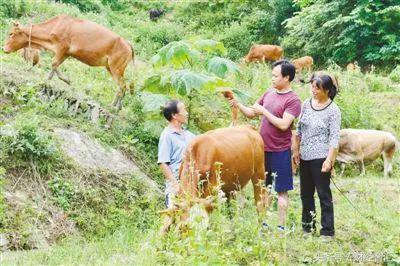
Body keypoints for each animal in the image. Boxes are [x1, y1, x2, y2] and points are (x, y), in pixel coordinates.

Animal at [2, 14, 134, 109]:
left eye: (11, 34)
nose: (3, 48)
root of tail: (128, 44)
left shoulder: (62, 47)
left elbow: (53, 64)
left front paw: (53, 80)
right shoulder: (66, 53)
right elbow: (55, 66)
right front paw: (60, 80)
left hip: (116, 68)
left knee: (122, 86)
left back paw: (115, 107)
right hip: (110, 67)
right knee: (122, 86)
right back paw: (117, 105)